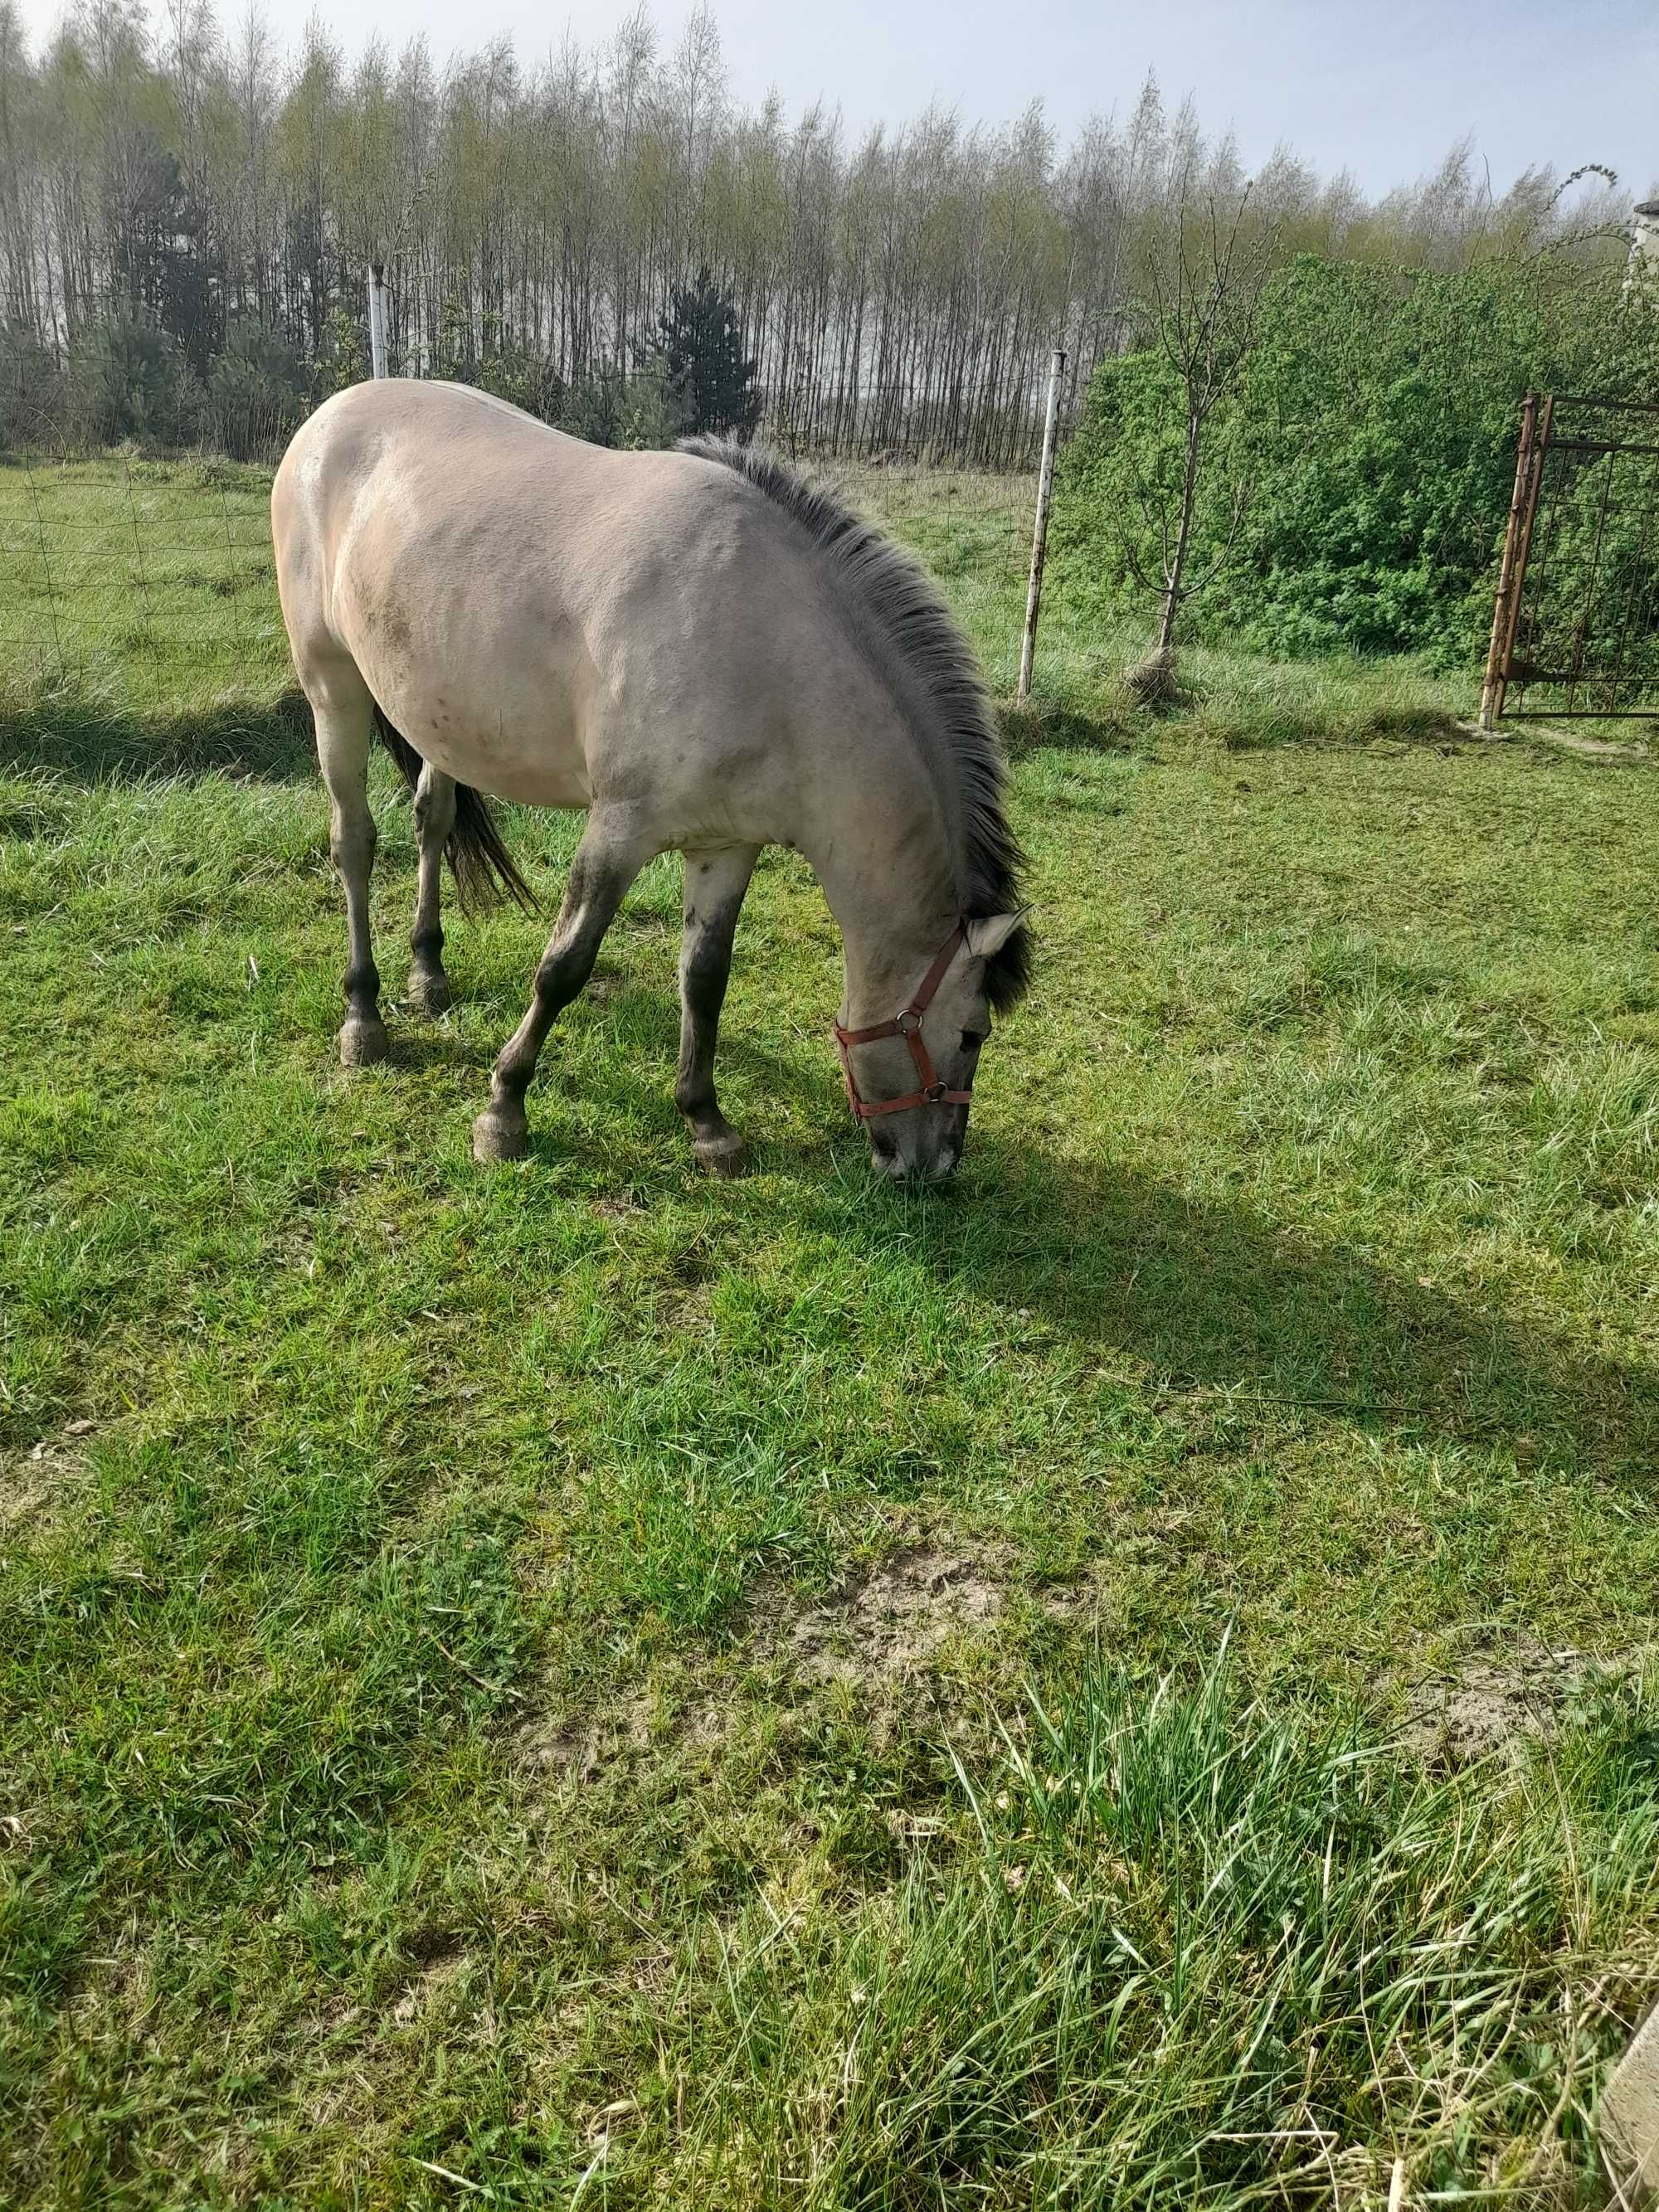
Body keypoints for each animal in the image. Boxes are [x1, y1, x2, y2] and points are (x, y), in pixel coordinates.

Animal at [270, 385, 1026, 1176]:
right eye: (972, 1034)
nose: (936, 1167)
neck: (768, 648)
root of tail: (328, 416)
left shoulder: (726, 846)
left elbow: (705, 977)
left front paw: (707, 1121)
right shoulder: (620, 827)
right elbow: (564, 967)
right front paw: (504, 1109)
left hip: (436, 715)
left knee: (432, 819)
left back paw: (428, 975)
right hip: (333, 687)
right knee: (354, 842)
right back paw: (364, 1016)